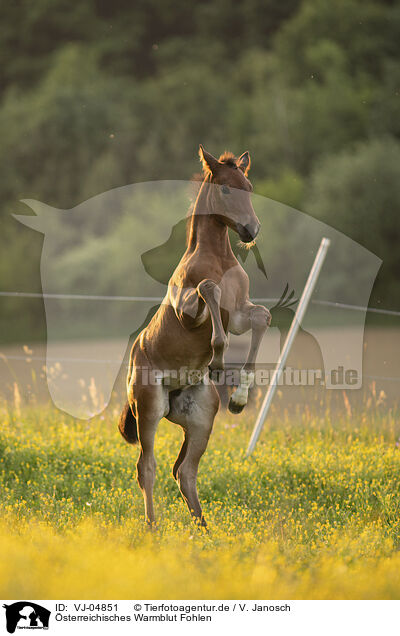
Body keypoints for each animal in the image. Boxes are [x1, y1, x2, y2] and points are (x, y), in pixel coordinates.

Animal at [117, 145, 270, 528]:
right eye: (227, 188)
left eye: (250, 186)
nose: (251, 230)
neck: (218, 258)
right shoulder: (189, 311)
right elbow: (208, 289)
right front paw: (216, 360)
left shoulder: (240, 314)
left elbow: (262, 317)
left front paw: (240, 397)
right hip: (149, 408)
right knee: (147, 467)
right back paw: (153, 528)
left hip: (201, 418)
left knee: (184, 471)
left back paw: (202, 530)